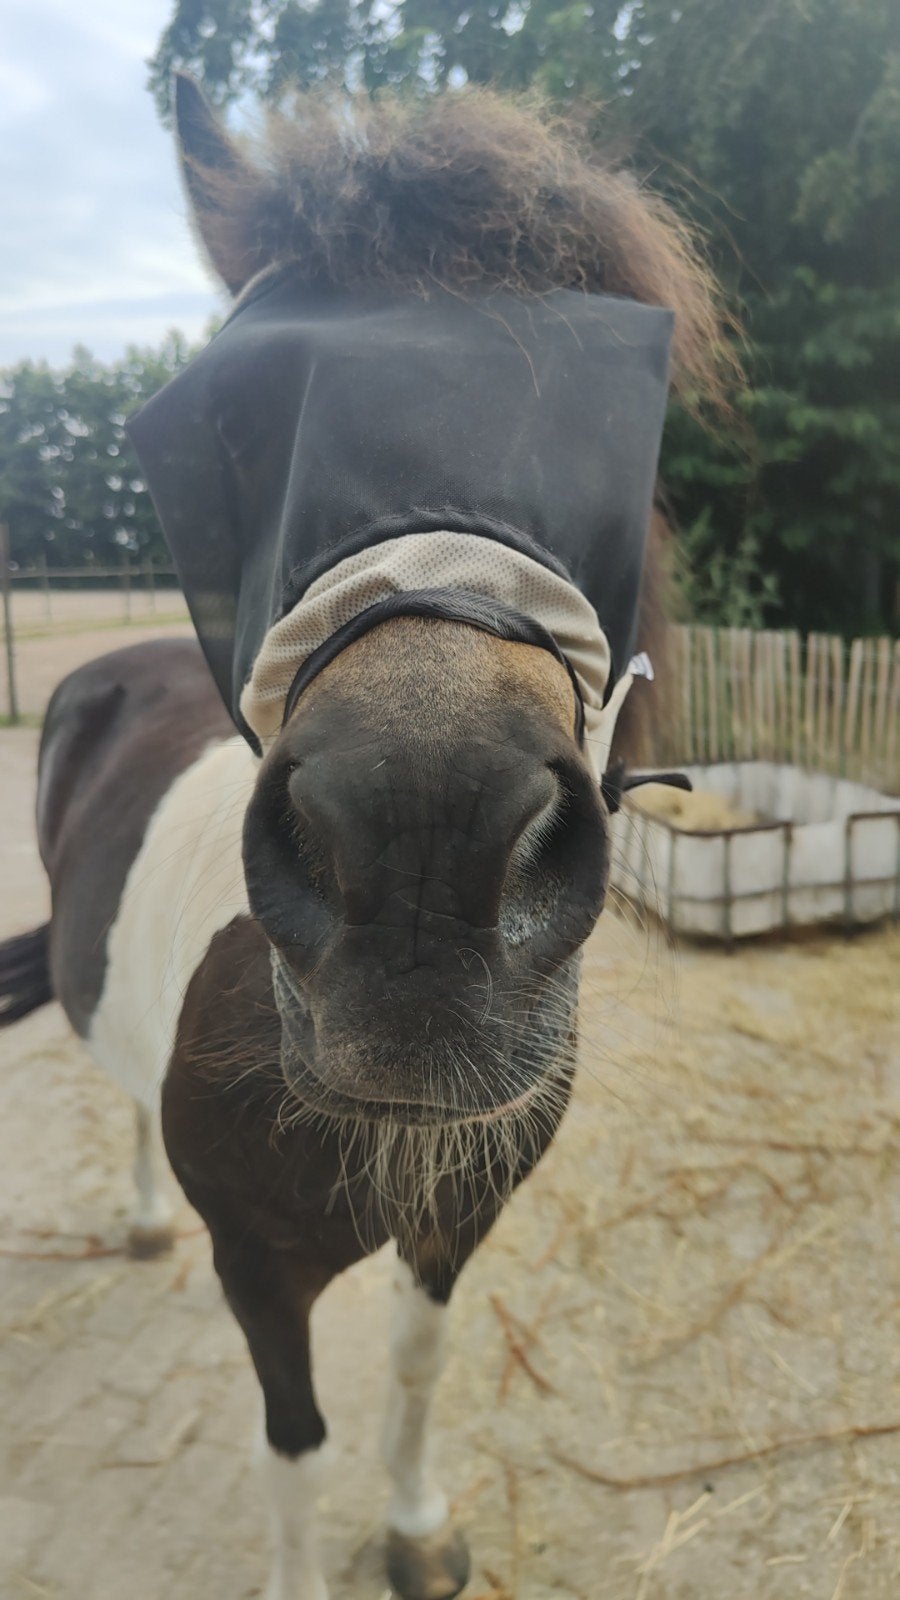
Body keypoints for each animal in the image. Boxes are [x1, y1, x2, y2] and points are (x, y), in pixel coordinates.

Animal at [0, 77, 723, 1600]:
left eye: (630, 414)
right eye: (223, 423)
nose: (420, 869)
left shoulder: (453, 1222)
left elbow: (413, 1369)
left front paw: (417, 1529)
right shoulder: (259, 1271)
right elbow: (294, 1439)